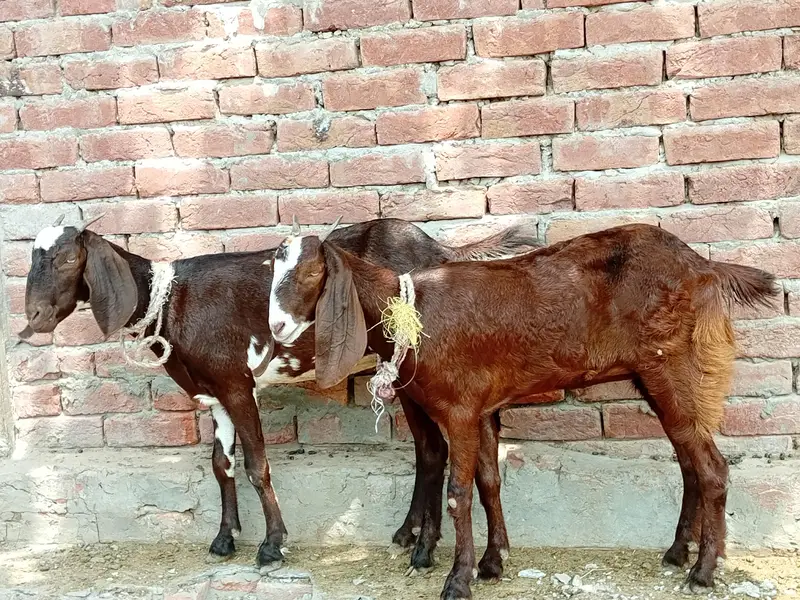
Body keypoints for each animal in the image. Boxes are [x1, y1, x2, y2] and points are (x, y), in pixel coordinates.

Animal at [22, 215, 539, 573]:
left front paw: (273, 544)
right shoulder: (213, 393)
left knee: (433, 449)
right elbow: (221, 465)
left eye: (69, 258)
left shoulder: (237, 383)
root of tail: (440, 249)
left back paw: (426, 547)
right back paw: (414, 536)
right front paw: (225, 538)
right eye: (32, 260)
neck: (173, 300)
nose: (34, 317)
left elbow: (257, 465)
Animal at [267, 223, 779, 600]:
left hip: (676, 365)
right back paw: (676, 553)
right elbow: (489, 481)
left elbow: (458, 491)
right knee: (689, 461)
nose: (276, 326)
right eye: (272, 274)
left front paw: (458, 580)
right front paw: (493, 562)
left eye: (311, 274)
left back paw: (703, 572)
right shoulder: (480, 407)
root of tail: (705, 267)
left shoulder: (459, 408)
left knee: (711, 468)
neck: (412, 311)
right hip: (657, 376)